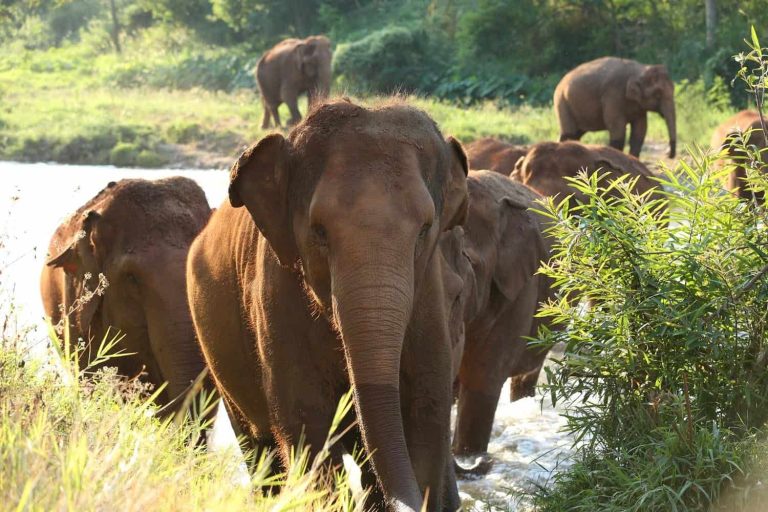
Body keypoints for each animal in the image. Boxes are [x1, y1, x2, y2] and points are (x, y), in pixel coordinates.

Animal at [186, 98, 470, 511]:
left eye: (424, 229)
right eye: (319, 232)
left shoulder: (429, 299)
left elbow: (426, 413)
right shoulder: (277, 295)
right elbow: (307, 425)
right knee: (260, 449)